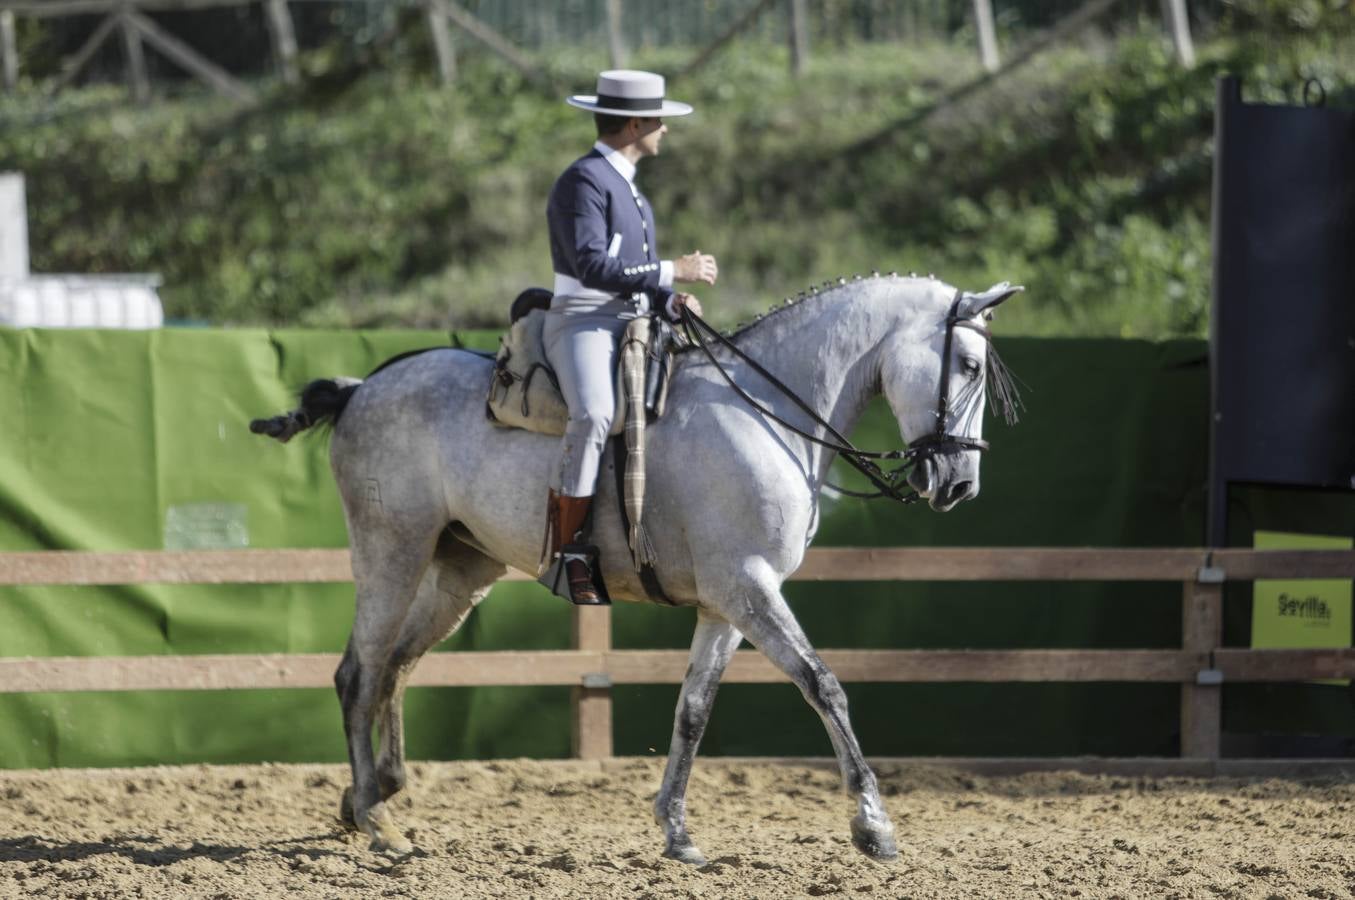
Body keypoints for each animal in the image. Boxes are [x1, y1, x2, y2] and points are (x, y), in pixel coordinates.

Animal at [251, 273, 1021, 864]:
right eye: (968, 366)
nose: (959, 484)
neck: (764, 413)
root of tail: (363, 387)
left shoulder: (725, 604)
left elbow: (693, 710)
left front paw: (676, 831)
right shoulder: (749, 587)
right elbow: (823, 686)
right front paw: (873, 826)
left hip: (458, 572)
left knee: (397, 665)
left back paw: (373, 796)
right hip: (392, 553)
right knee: (358, 673)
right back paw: (376, 823)